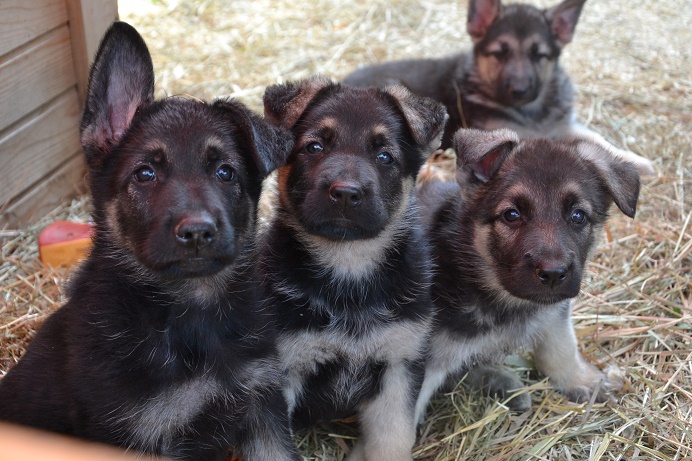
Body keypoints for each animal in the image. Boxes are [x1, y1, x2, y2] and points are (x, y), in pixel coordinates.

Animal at [344, 0, 656, 176]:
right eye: (499, 53)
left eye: (538, 55)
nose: (519, 90)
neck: (533, 111)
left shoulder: (564, 124)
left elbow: (597, 139)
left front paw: (631, 159)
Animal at [414, 126, 640, 420]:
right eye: (512, 215)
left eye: (578, 216)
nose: (554, 274)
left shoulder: (554, 313)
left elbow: (561, 348)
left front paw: (582, 380)